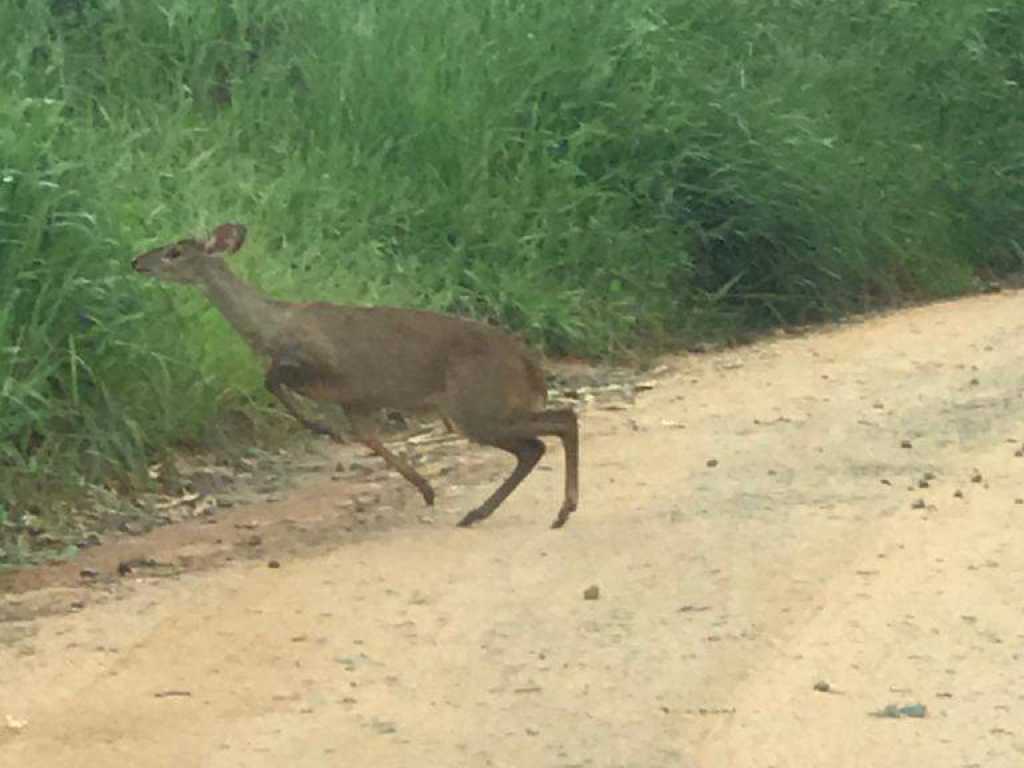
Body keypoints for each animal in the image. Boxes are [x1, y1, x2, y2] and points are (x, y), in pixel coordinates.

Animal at [132, 224, 581, 528]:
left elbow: (271, 380)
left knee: (558, 424)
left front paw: (321, 427)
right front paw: (425, 489)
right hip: (480, 408)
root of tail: (529, 365)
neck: (271, 328)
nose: (137, 261)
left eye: (174, 252)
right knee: (537, 443)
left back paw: (558, 509)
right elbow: (370, 438)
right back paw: (488, 511)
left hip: (476, 403)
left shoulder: (321, 363)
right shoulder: (355, 399)